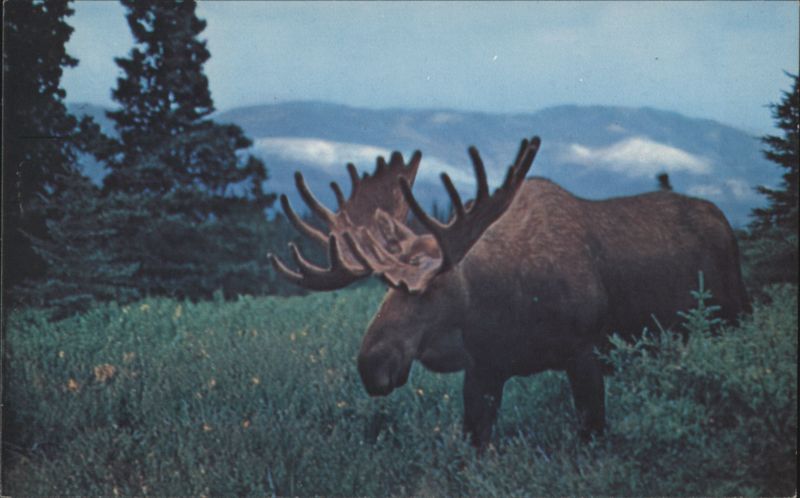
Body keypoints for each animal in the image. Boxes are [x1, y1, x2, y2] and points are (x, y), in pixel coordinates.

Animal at [268, 136, 749, 449]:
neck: (499, 309)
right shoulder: (484, 370)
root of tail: (725, 223)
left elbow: (592, 434)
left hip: (730, 318)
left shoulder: (584, 352)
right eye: (384, 286)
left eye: (431, 288)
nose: (372, 366)